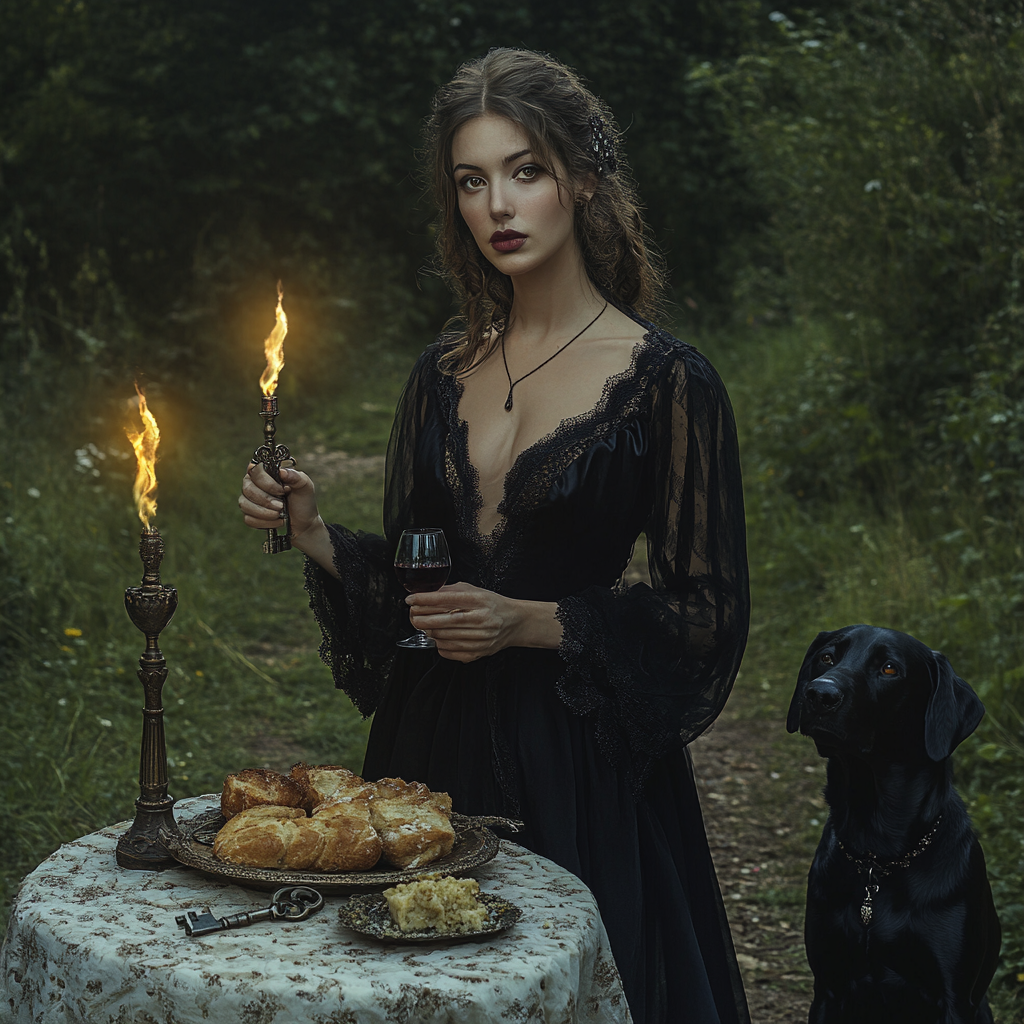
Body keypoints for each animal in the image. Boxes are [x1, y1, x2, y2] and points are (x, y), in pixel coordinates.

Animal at [782, 622, 999, 1024]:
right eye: (827, 657)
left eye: (889, 669)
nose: (819, 694)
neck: (876, 853)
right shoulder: (828, 986)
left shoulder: (955, 998)